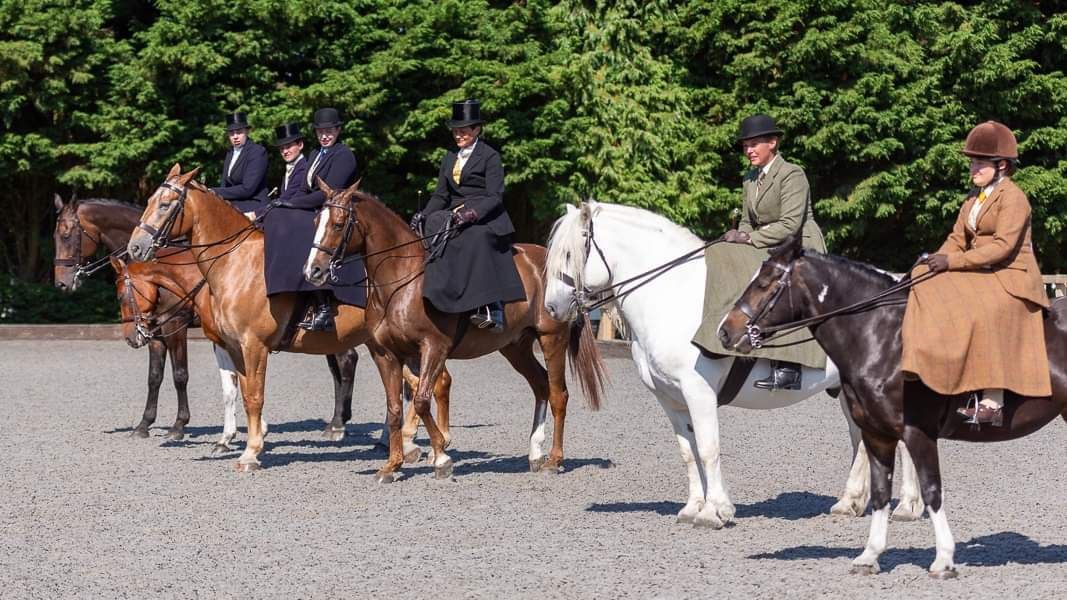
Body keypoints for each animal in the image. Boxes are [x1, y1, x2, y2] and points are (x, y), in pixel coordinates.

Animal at [126, 164, 452, 471]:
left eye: (165, 205)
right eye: (150, 201)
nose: (136, 247)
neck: (235, 263)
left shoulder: (254, 346)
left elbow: (254, 396)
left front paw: (250, 452)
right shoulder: (233, 346)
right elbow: (240, 391)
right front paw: (245, 441)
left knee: (419, 386)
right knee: (425, 384)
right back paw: (412, 444)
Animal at [305, 178, 606, 480]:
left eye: (339, 224)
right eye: (316, 220)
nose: (313, 271)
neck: (401, 282)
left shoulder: (433, 347)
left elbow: (421, 399)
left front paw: (441, 456)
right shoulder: (386, 354)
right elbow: (394, 408)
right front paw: (392, 465)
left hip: (551, 337)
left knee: (558, 395)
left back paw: (554, 460)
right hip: (516, 347)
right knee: (541, 386)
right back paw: (534, 452)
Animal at [537, 201, 921, 527]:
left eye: (570, 253)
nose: (552, 308)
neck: (670, 295)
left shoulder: (699, 392)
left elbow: (708, 449)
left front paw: (715, 511)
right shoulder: (670, 399)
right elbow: (688, 452)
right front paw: (693, 507)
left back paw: (907, 506)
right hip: (845, 387)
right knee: (862, 438)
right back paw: (851, 502)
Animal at [717, 235, 1067, 576]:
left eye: (766, 282)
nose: (725, 332)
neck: (883, 340)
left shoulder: (917, 432)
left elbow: (932, 490)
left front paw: (943, 560)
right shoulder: (877, 435)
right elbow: (881, 494)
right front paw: (869, 556)